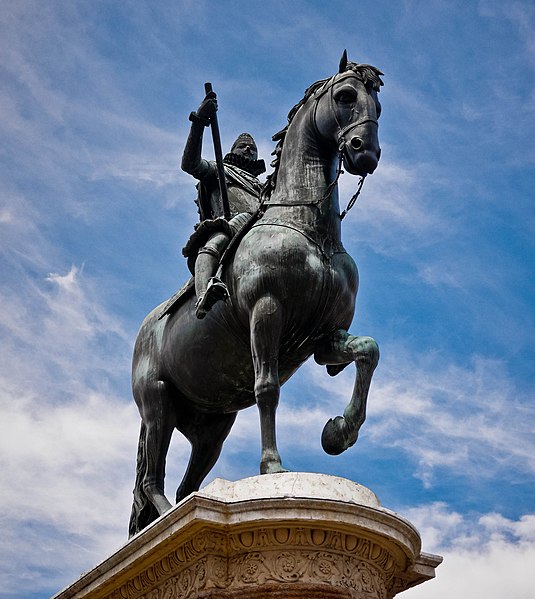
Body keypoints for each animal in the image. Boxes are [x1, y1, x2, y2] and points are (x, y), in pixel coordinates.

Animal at [130, 54, 384, 536]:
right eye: (345, 96)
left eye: (377, 104)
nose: (367, 152)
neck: (311, 231)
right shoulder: (266, 312)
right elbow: (267, 388)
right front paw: (272, 467)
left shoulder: (324, 338)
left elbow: (368, 350)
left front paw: (338, 432)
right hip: (157, 405)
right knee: (154, 479)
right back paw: (171, 519)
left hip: (211, 425)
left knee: (185, 484)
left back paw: (189, 509)